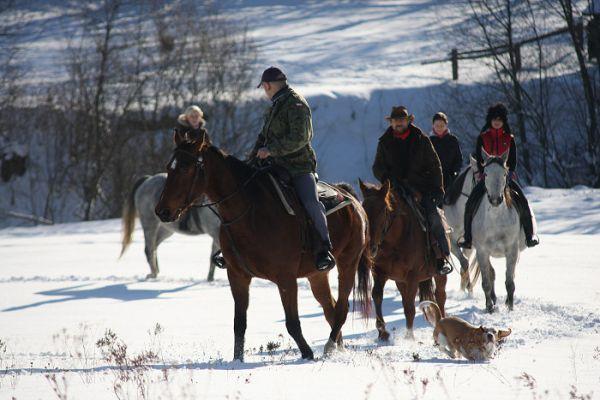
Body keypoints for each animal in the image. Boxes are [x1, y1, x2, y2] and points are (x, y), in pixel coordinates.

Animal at [155, 133, 370, 360]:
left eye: (186, 168)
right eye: (169, 167)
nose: (162, 211)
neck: (251, 211)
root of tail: (350, 199)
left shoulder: (286, 278)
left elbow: (292, 323)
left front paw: (307, 354)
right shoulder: (238, 276)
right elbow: (239, 324)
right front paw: (237, 360)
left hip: (348, 262)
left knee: (342, 307)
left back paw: (329, 346)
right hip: (317, 274)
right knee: (330, 307)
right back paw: (337, 347)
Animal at [358, 180, 448, 340]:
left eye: (383, 210)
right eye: (364, 208)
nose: (370, 247)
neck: (395, 241)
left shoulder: (412, 277)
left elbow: (410, 307)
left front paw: (409, 337)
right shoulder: (379, 274)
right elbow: (377, 296)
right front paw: (382, 332)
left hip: (440, 275)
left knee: (440, 296)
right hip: (400, 281)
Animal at [468, 149, 524, 312]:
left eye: (504, 174)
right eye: (486, 173)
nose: (495, 200)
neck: (495, 219)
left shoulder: (512, 250)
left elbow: (510, 282)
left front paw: (510, 307)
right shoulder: (482, 251)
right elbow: (486, 282)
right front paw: (489, 307)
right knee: (491, 273)